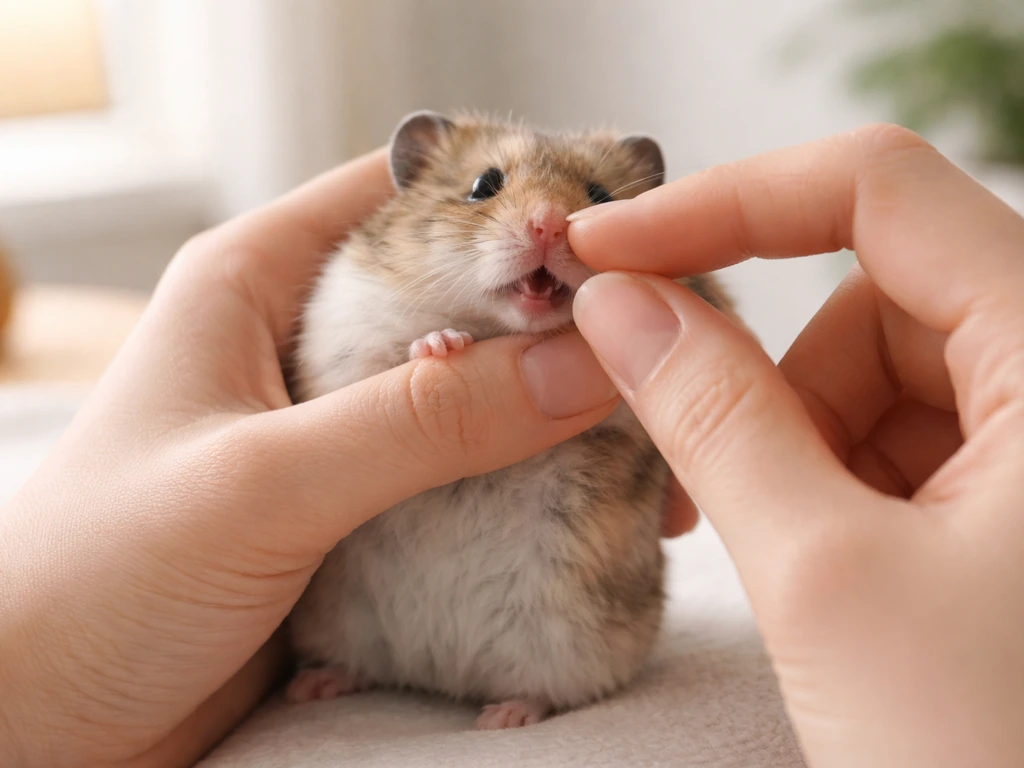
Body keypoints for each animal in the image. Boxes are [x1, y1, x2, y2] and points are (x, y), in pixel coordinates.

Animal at [286, 111, 735, 730]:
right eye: (483, 185)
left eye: (600, 195)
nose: (548, 226)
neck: (504, 326)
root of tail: (436, 669)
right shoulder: (343, 343)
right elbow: (392, 354)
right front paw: (442, 345)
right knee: (359, 666)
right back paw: (312, 687)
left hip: (571, 642)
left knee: (544, 690)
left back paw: (502, 719)